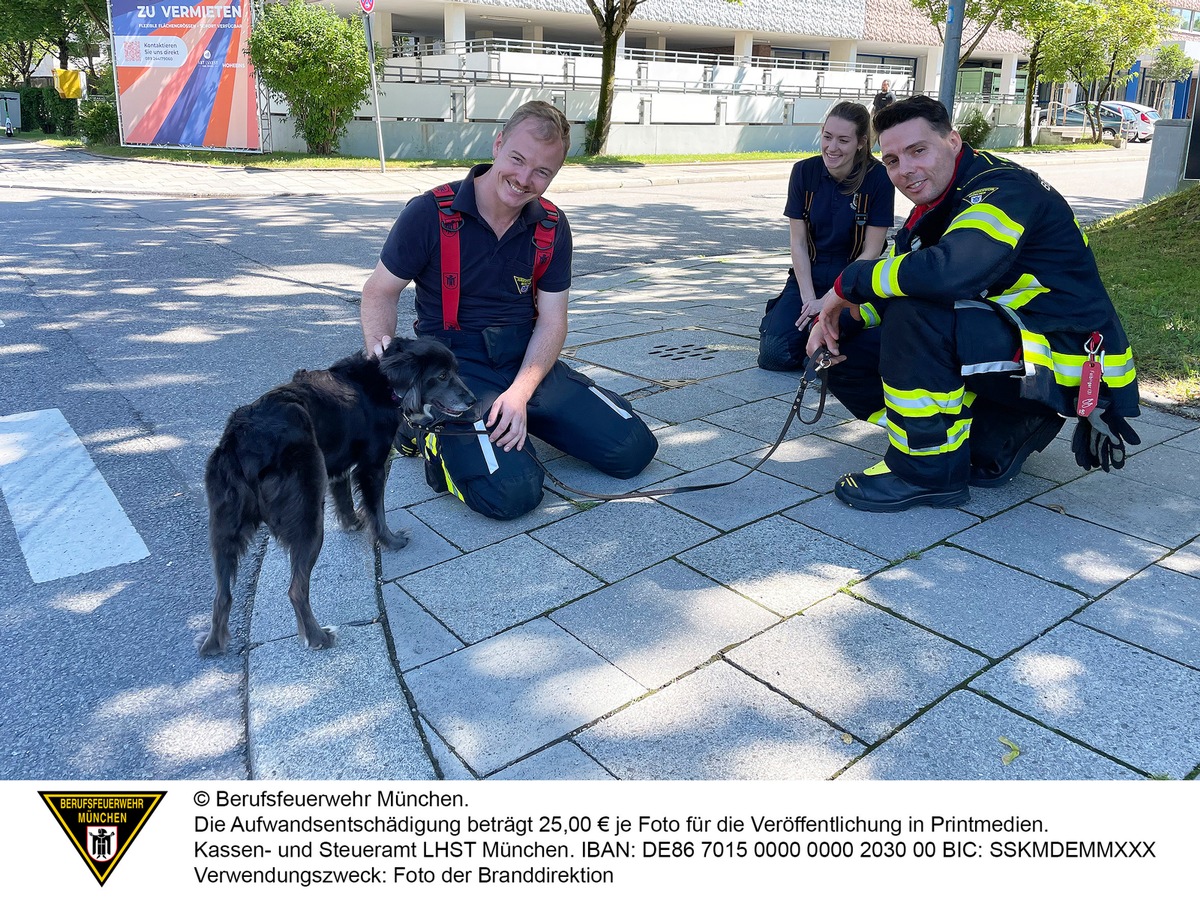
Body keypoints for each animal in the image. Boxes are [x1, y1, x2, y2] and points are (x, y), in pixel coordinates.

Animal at [198, 338, 472, 657]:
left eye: (457, 371)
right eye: (441, 376)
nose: (472, 400)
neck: (383, 382)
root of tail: (246, 438)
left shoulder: (338, 467)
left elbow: (345, 499)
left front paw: (352, 523)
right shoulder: (372, 467)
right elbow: (376, 511)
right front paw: (390, 541)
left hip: (224, 528)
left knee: (222, 594)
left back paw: (215, 643)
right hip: (308, 518)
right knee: (296, 589)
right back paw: (318, 637)